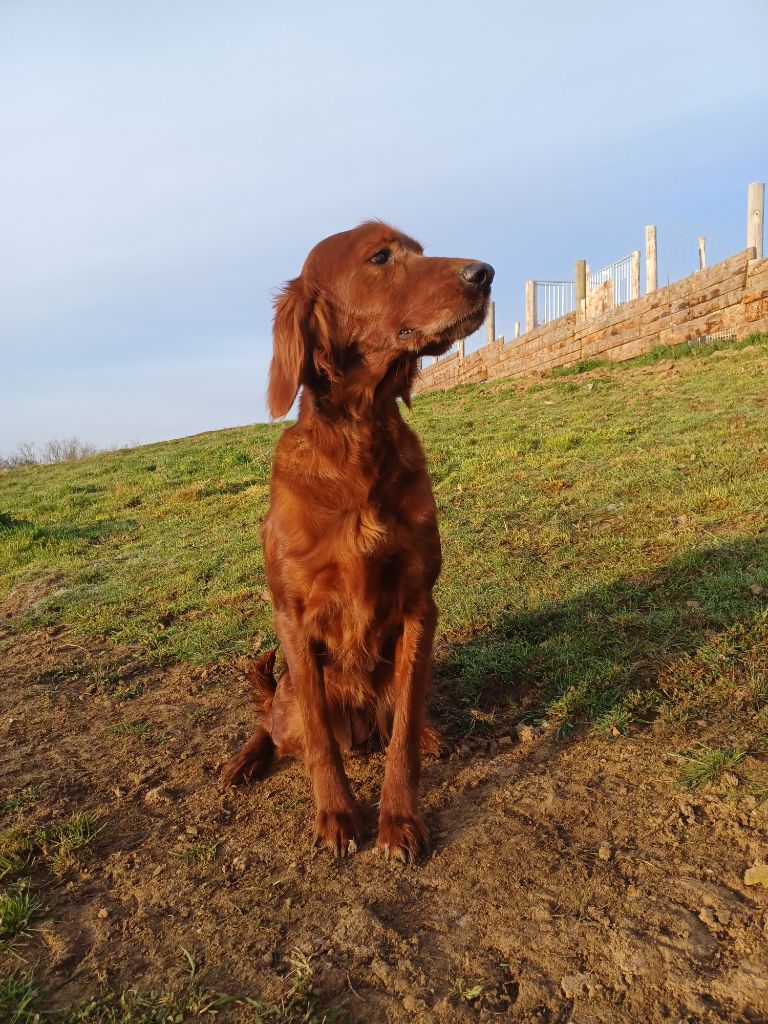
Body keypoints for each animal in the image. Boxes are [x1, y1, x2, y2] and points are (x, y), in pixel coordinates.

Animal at [221, 221, 493, 862]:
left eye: (420, 251)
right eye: (380, 256)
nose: (486, 273)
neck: (358, 444)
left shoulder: (420, 605)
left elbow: (404, 739)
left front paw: (399, 821)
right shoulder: (293, 615)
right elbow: (321, 739)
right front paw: (338, 816)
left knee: (397, 722)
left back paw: (431, 734)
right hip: (289, 702)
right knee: (273, 721)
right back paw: (242, 763)